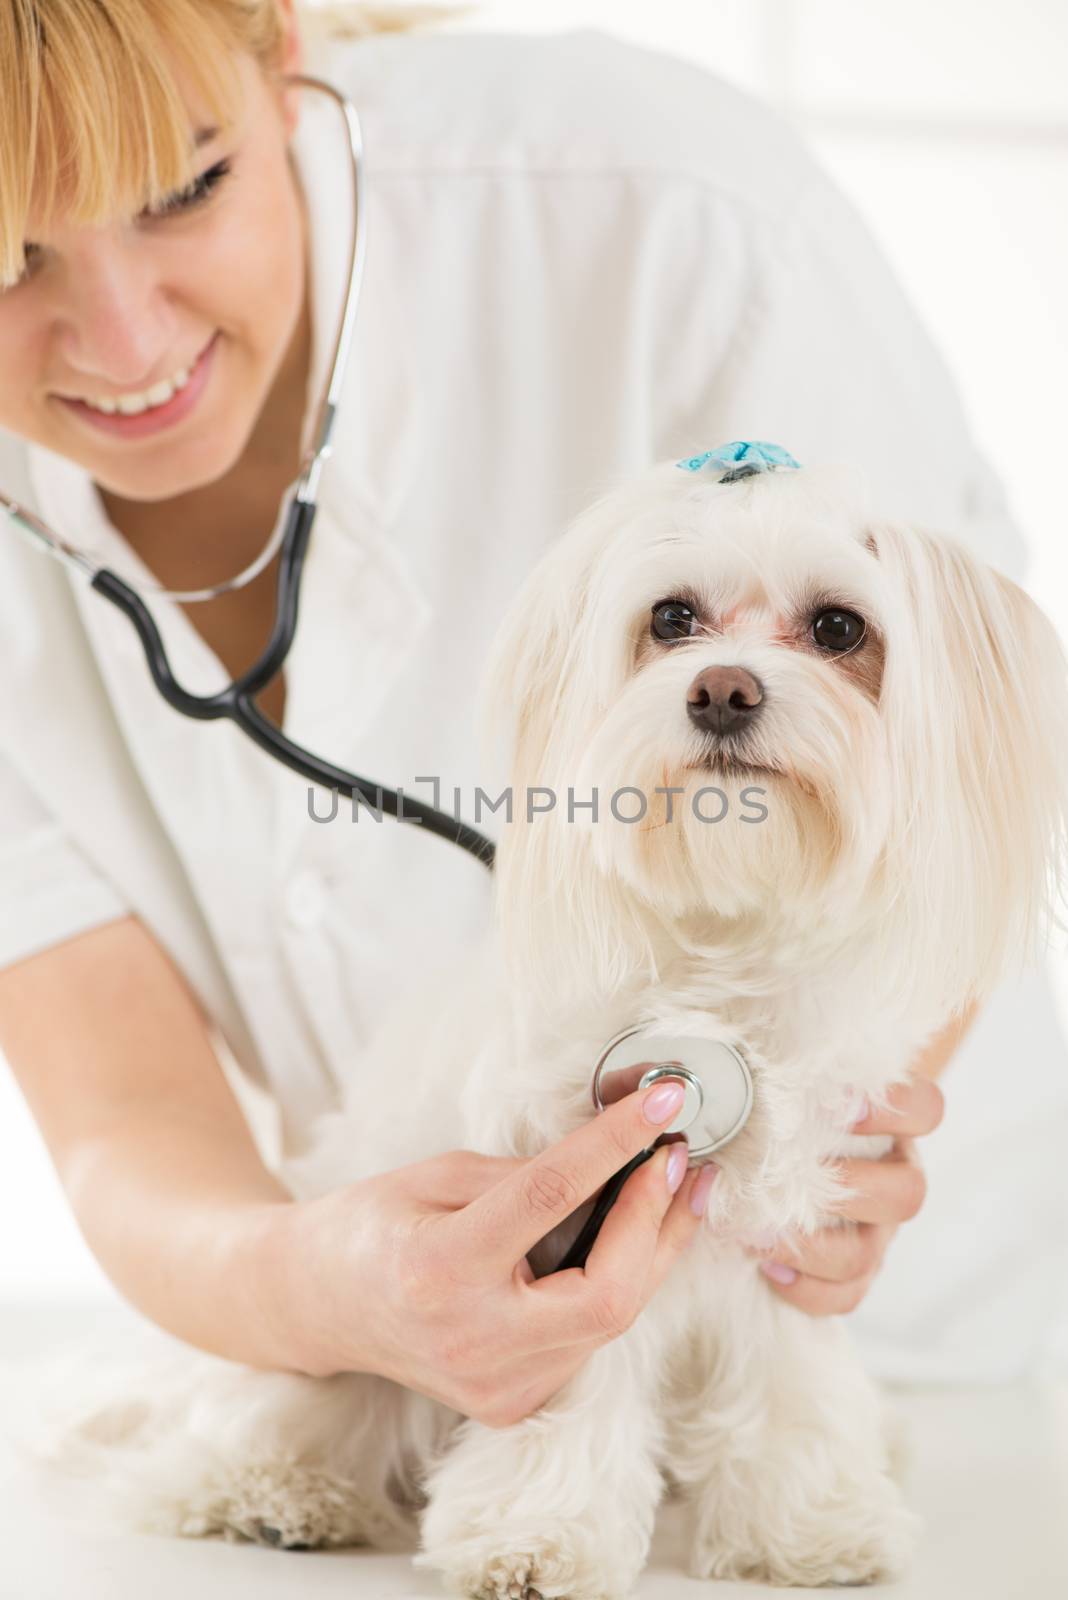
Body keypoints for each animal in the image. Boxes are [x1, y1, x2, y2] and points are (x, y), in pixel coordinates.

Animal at [27, 451, 1068, 1600]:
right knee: (246, 1427)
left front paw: (807, 1523)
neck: (718, 955)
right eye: (672, 618)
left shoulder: (790, 1231)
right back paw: (274, 1493)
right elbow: (570, 1380)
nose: (722, 688)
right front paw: (538, 1535)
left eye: (840, 628)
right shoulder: (567, 1232)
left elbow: (787, 1377)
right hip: (318, 1330)